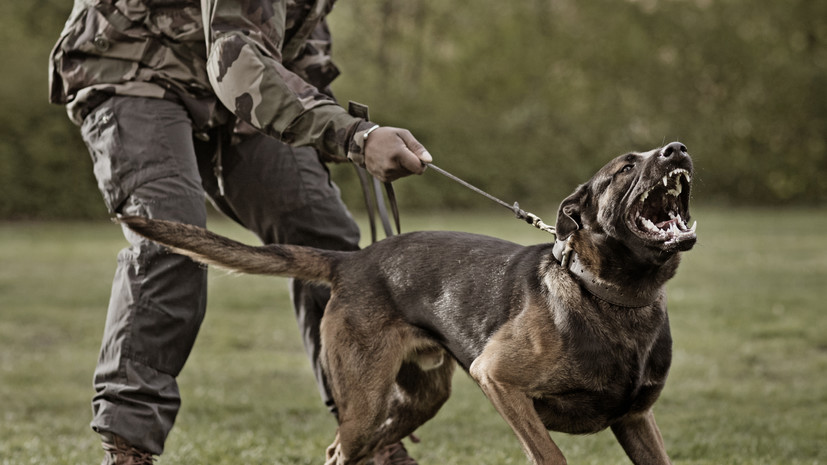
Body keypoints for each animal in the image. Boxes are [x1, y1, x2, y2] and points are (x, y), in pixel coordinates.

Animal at [118, 141, 700, 464]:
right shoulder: (499, 381)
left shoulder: (637, 420)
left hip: (415, 400)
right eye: (625, 168)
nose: (677, 150)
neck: (612, 297)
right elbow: (552, 456)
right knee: (337, 451)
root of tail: (352, 261)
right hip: (365, 400)